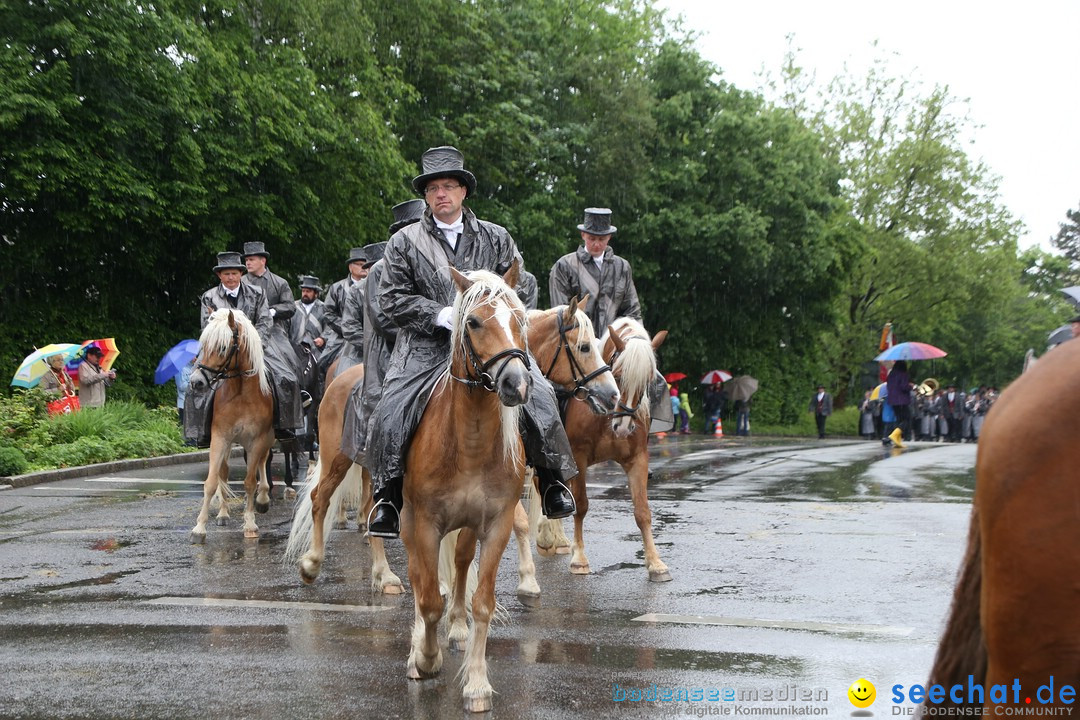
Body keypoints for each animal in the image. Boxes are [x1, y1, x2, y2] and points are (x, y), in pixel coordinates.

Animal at [185, 306, 272, 544]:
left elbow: (250, 481)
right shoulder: (220, 437)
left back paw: (263, 498)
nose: (196, 382)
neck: (241, 393)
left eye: (223, 347)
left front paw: (250, 523)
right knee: (223, 472)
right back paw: (223, 514)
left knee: (263, 462)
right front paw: (199, 528)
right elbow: (211, 481)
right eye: (203, 345)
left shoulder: (258, 439)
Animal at [540, 317, 673, 582]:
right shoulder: (578, 458)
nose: (623, 427)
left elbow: (643, 512)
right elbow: (581, 506)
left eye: (647, 382)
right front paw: (579, 559)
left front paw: (655, 563)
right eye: (618, 375)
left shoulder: (637, 459)